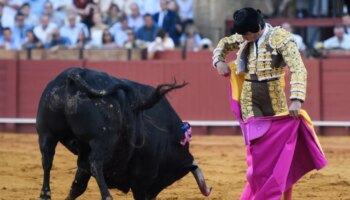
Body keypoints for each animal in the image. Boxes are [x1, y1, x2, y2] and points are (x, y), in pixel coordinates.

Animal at [36, 68, 211, 199]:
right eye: (170, 176)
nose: (151, 196)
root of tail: (76, 74)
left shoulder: (83, 157)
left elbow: (78, 186)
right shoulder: (143, 175)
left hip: (47, 133)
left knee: (47, 159)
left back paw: (45, 194)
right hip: (102, 141)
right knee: (96, 164)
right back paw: (107, 196)